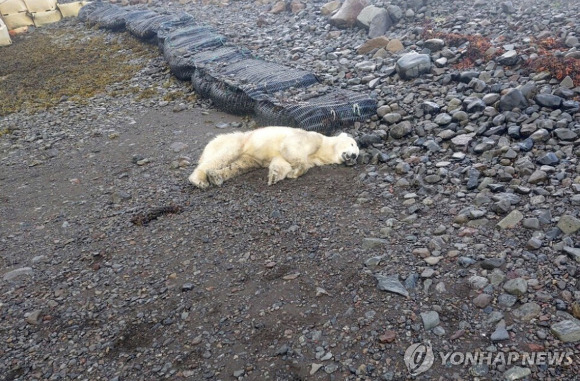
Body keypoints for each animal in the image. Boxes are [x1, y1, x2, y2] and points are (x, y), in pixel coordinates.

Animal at [188, 127, 358, 188]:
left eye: (357, 154)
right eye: (352, 144)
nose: (354, 156)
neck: (323, 149)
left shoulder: (313, 158)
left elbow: (281, 162)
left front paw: (276, 176)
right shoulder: (310, 138)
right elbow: (291, 148)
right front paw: (295, 171)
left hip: (248, 157)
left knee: (239, 166)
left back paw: (216, 177)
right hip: (237, 142)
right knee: (223, 156)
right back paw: (199, 180)